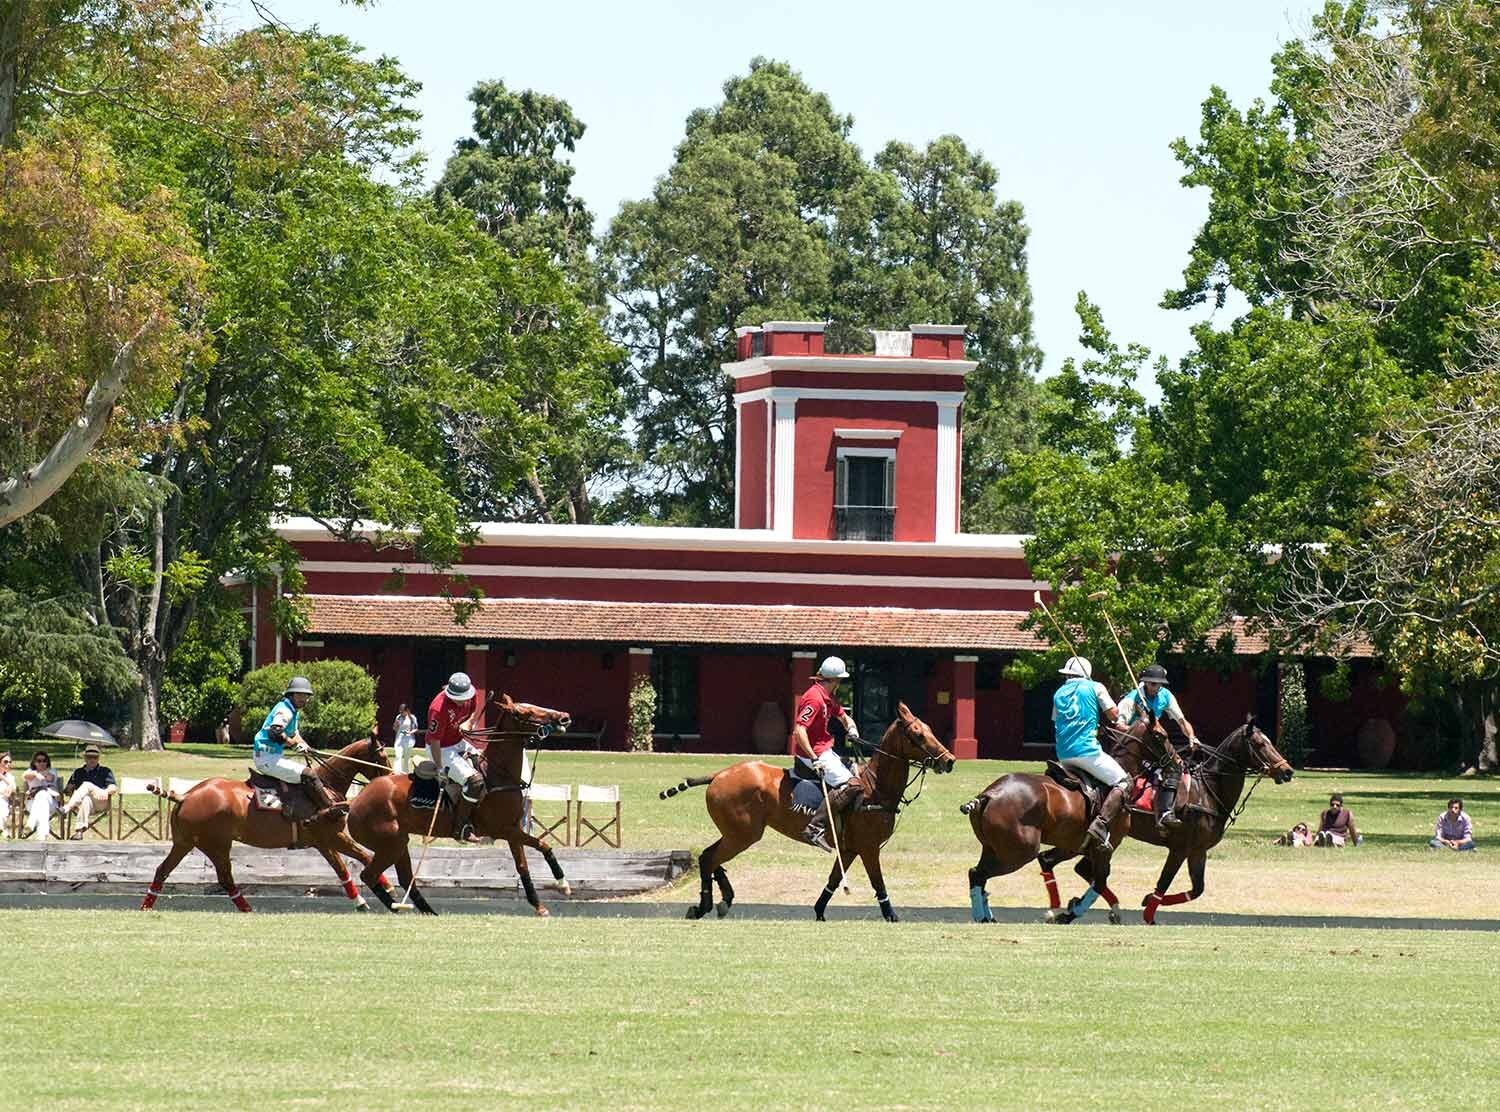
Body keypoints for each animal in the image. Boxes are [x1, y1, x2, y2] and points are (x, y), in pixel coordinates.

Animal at [141, 729, 390, 912]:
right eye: (382, 754)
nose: (390, 777)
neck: (327, 788)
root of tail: (186, 795)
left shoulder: (324, 842)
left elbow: (343, 869)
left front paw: (365, 900)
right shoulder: (331, 836)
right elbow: (365, 858)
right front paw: (389, 892)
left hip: (187, 842)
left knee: (165, 870)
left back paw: (147, 907)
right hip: (215, 844)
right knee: (223, 877)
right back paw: (246, 909)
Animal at [346, 693, 573, 918]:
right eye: (523, 712)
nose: (563, 718)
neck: (497, 773)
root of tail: (355, 802)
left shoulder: (513, 828)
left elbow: (524, 865)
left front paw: (541, 904)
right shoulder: (502, 829)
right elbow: (543, 845)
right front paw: (563, 884)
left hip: (399, 841)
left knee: (404, 878)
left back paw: (427, 911)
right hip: (389, 843)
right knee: (369, 875)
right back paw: (396, 907)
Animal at [660, 702, 960, 930]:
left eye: (930, 730)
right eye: (918, 735)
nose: (949, 761)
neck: (875, 788)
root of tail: (718, 775)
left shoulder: (849, 848)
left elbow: (834, 880)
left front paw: (819, 911)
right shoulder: (869, 847)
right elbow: (878, 881)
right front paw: (892, 915)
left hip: (735, 832)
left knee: (709, 857)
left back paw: (720, 900)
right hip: (743, 834)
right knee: (709, 858)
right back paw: (706, 905)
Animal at [954, 714, 1164, 924]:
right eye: (1161, 735)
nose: (1172, 760)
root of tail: (989, 794)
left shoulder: (1072, 846)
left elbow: (1050, 862)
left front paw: (1061, 909)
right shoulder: (1103, 848)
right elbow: (1099, 881)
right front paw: (1070, 912)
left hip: (992, 848)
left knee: (979, 874)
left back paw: (988, 915)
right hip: (1019, 852)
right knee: (977, 874)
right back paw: (981, 916)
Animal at [1056, 714, 1290, 924]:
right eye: (1259, 744)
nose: (1287, 771)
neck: (1208, 791)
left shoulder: (1198, 851)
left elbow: (1197, 889)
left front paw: (1147, 899)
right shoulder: (1180, 848)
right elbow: (1165, 880)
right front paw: (1149, 911)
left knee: (1085, 869)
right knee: (1087, 869)